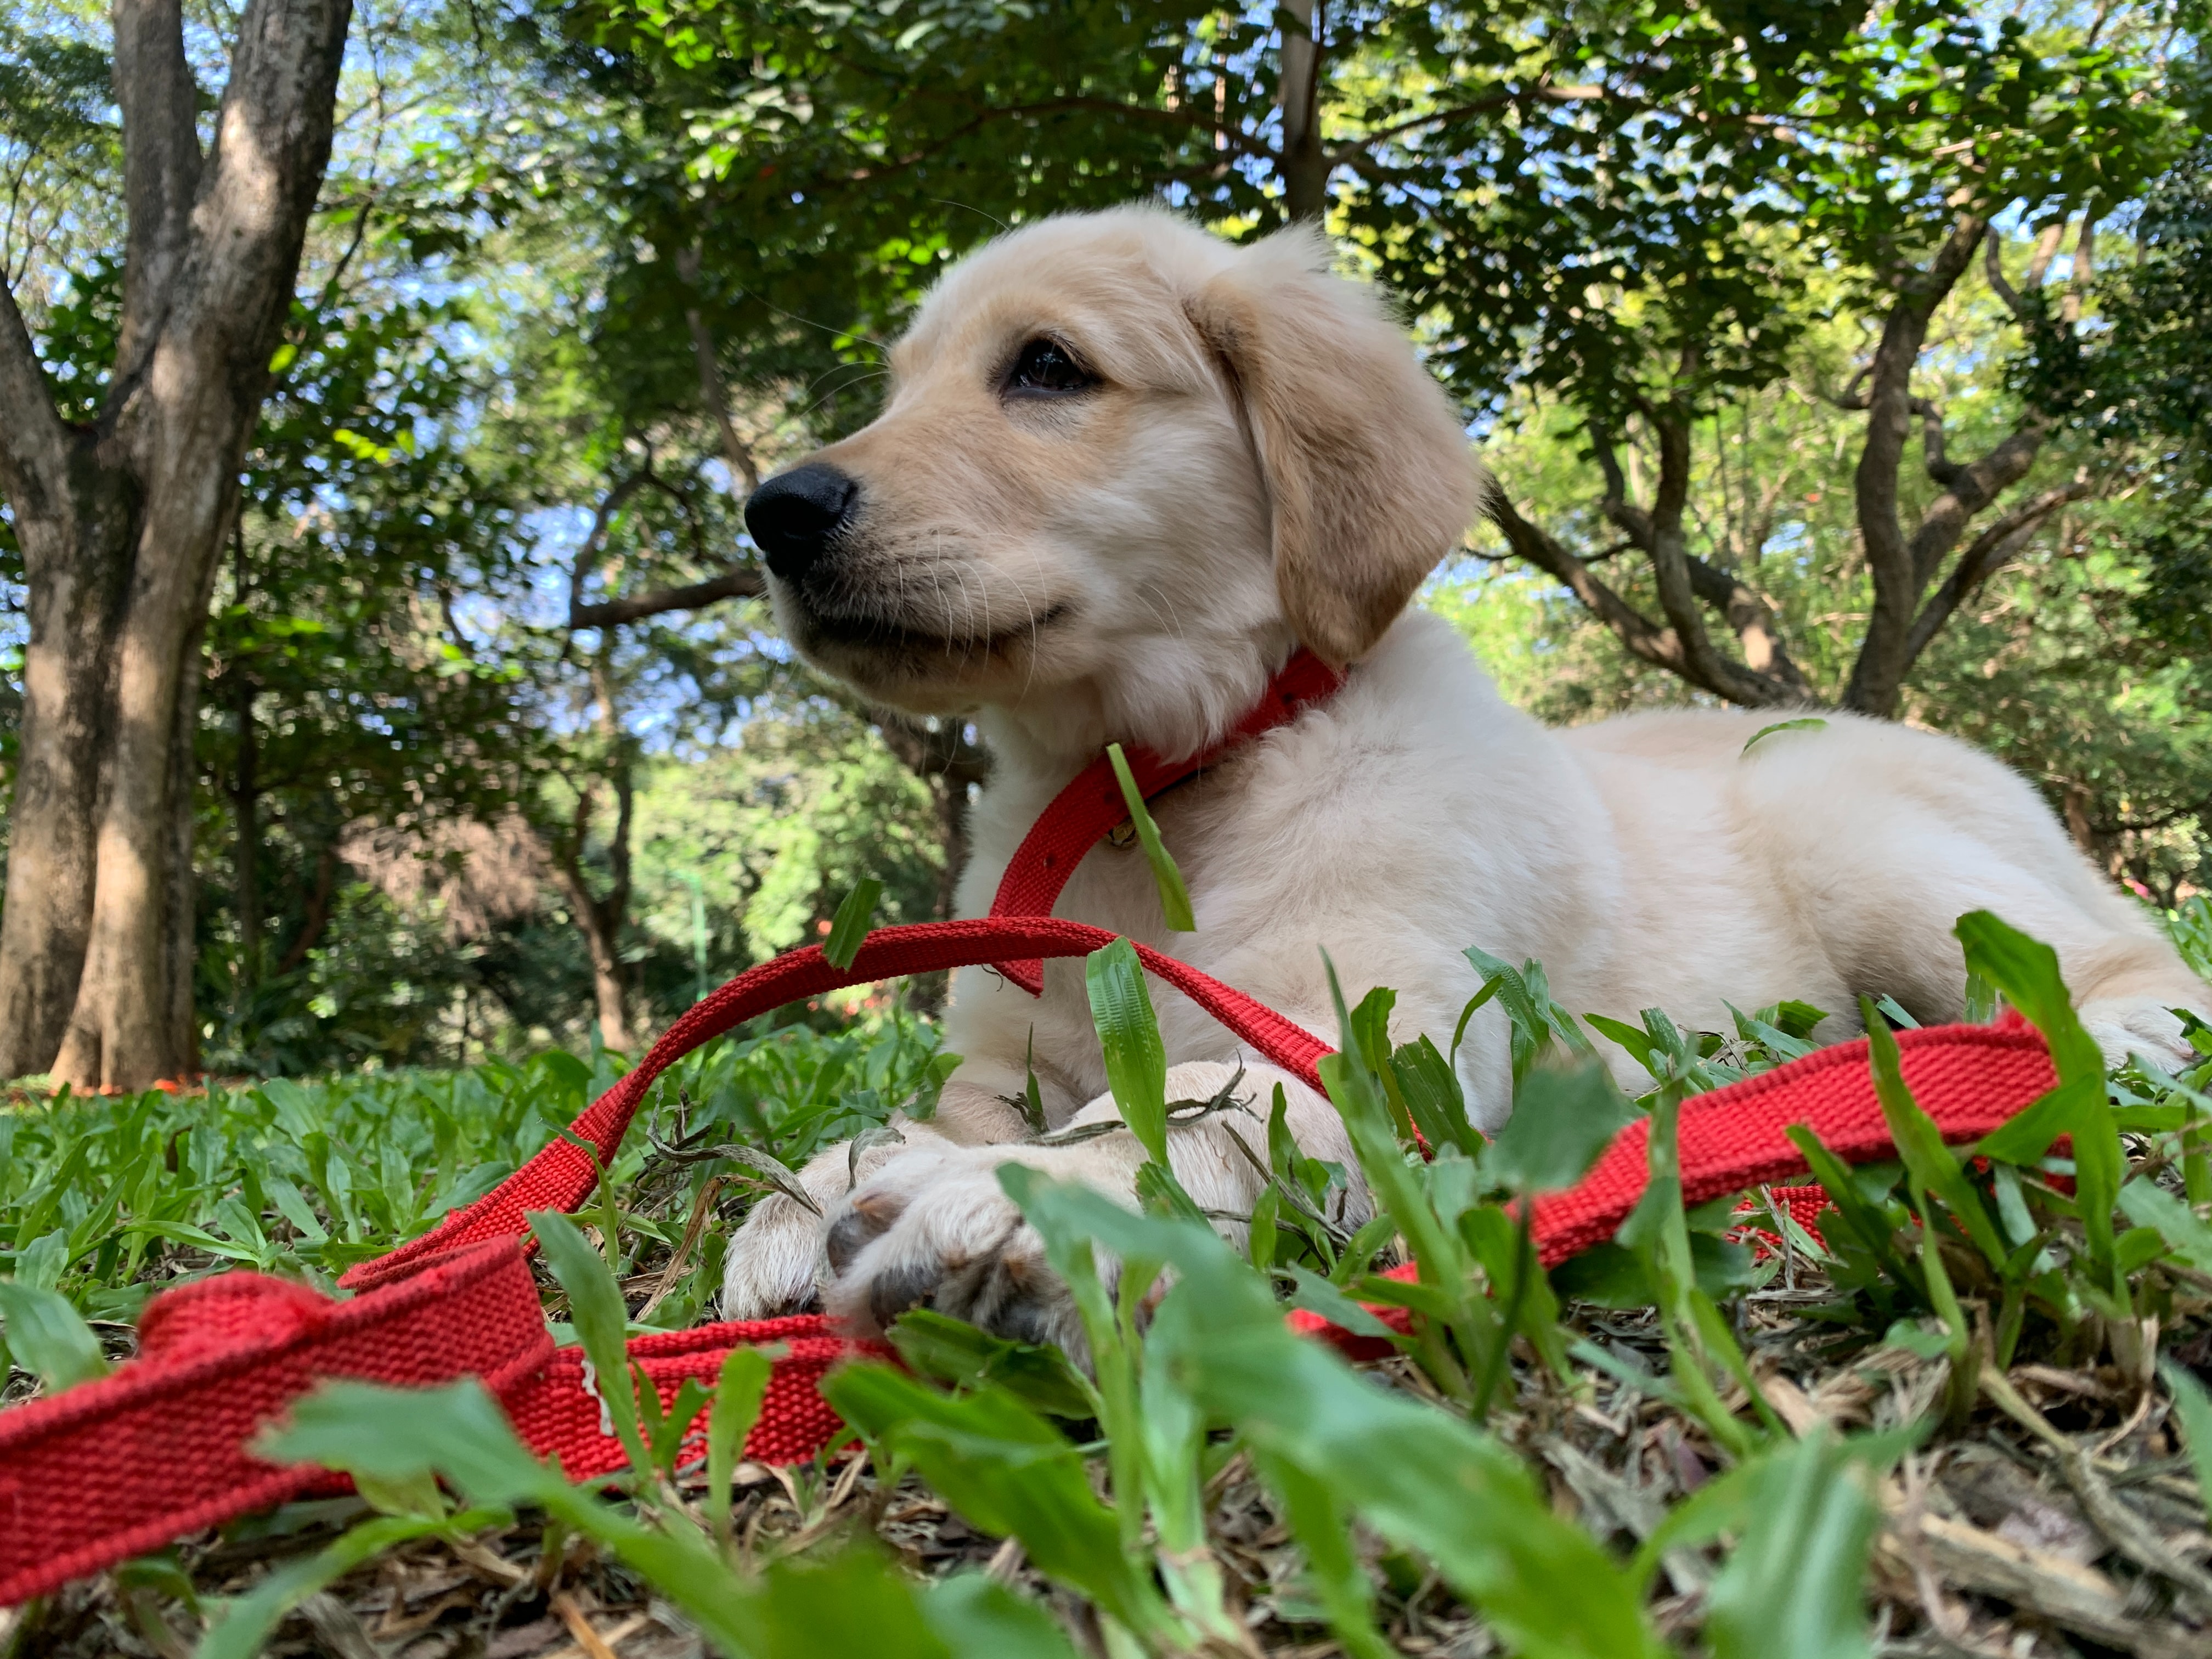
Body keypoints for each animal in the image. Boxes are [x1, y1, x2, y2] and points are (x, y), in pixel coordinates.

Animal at [721, 208, 2194, 1353]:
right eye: (900, 388)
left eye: (1046, 369)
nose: (775, 513)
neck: (1156, 777)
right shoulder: (1006, 1053)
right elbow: (920, 1110)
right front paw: (815, 1190)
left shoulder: (1372, 1042)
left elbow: (1197, 1106)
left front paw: (1012, 1197)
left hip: (1857, 832)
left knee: (2135, 967)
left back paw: (2066, 1057)